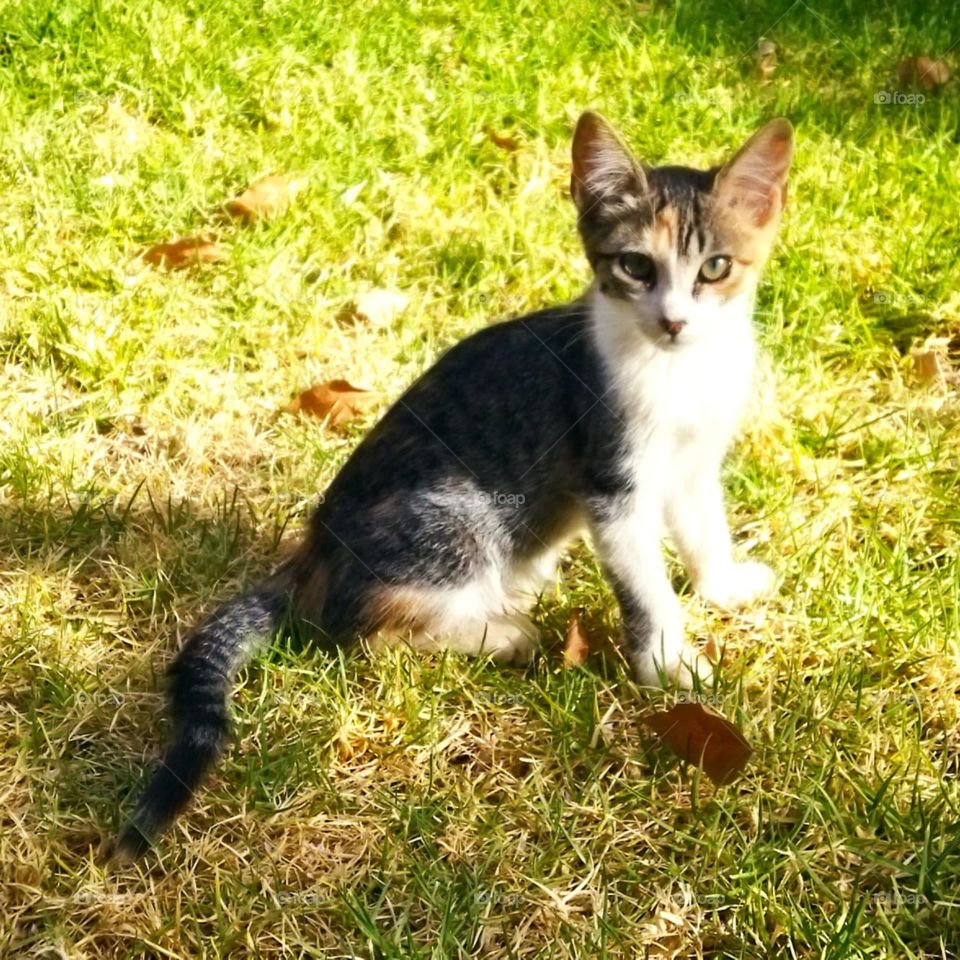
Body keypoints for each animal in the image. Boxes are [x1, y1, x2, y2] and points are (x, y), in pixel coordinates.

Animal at [112, 112, 792, 864]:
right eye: (636, 266)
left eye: (715, 267)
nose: (674, 320)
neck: (678, 373)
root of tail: (313, 553)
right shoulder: (613, 480)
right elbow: (645, 585)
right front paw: (668, 666)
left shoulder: (694, 461)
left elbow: (704, 526)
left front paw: (722, 585)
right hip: (458, 510)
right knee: (363, 629)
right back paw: (502, 632)